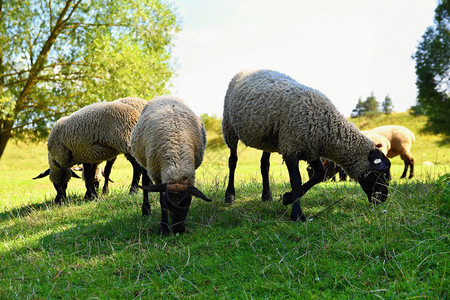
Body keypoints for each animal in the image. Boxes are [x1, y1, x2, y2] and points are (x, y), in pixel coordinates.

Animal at [130, 95, 213, 234]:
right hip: (144, 160)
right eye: (168, 204)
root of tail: (164, 96)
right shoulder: (158, 174)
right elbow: (160, 200)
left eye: (187, 202)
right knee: (145, 182)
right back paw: (146, 210)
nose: (178, 230)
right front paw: (163, 228)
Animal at [221, 69, 390, 220]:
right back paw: (230, 196)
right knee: (233, 161)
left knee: (264, 164)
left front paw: (287, 198)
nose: (383, 199)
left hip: (266, 140)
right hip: (229, 127)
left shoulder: (310, 149)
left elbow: (320, 174)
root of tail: (245, 70)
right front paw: (297, 213)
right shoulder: (291, 148)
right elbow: (296, 181)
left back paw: (266, 195)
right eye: (379, 174)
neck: (328, 128)